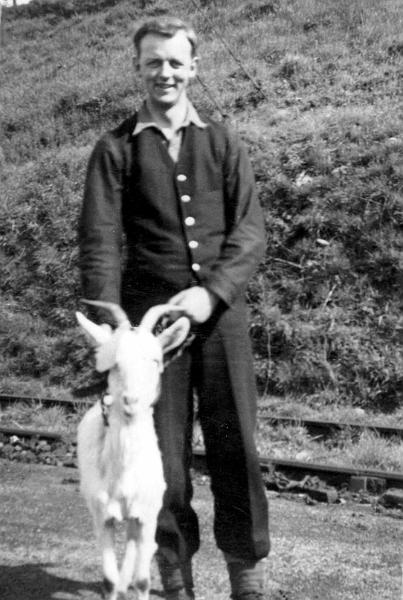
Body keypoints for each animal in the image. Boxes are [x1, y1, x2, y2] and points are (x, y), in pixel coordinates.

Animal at [76, 302, 192, 600]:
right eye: (114, 363)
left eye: (154, 361)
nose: (131, 400)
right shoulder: (101, 516)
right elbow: (108, 580)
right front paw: (115, 585)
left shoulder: (148, 515)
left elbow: (142, 580)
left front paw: (134, 583)